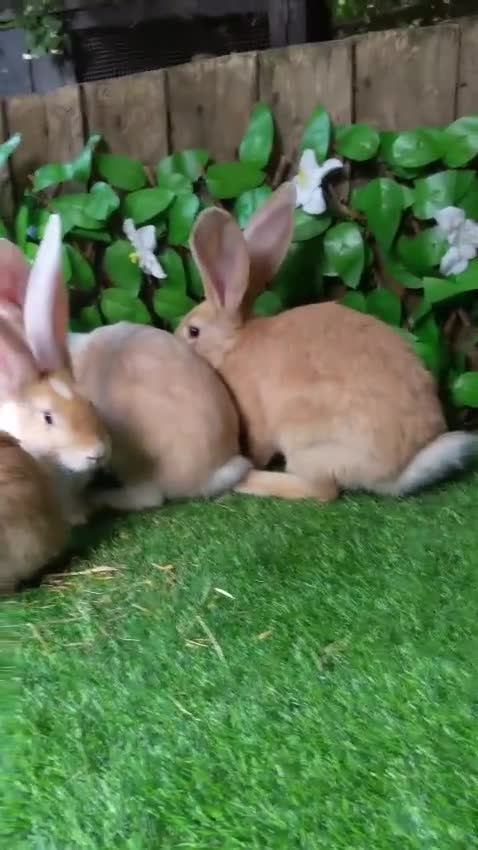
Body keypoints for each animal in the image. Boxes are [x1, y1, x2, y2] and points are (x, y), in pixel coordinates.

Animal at [175, 182, 478, 502]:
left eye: (193, 331)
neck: (232, 344)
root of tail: (395, 473)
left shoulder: (254, 418)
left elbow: (258, 448)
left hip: (303, 440)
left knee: (323, 491)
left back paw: (248, 482)